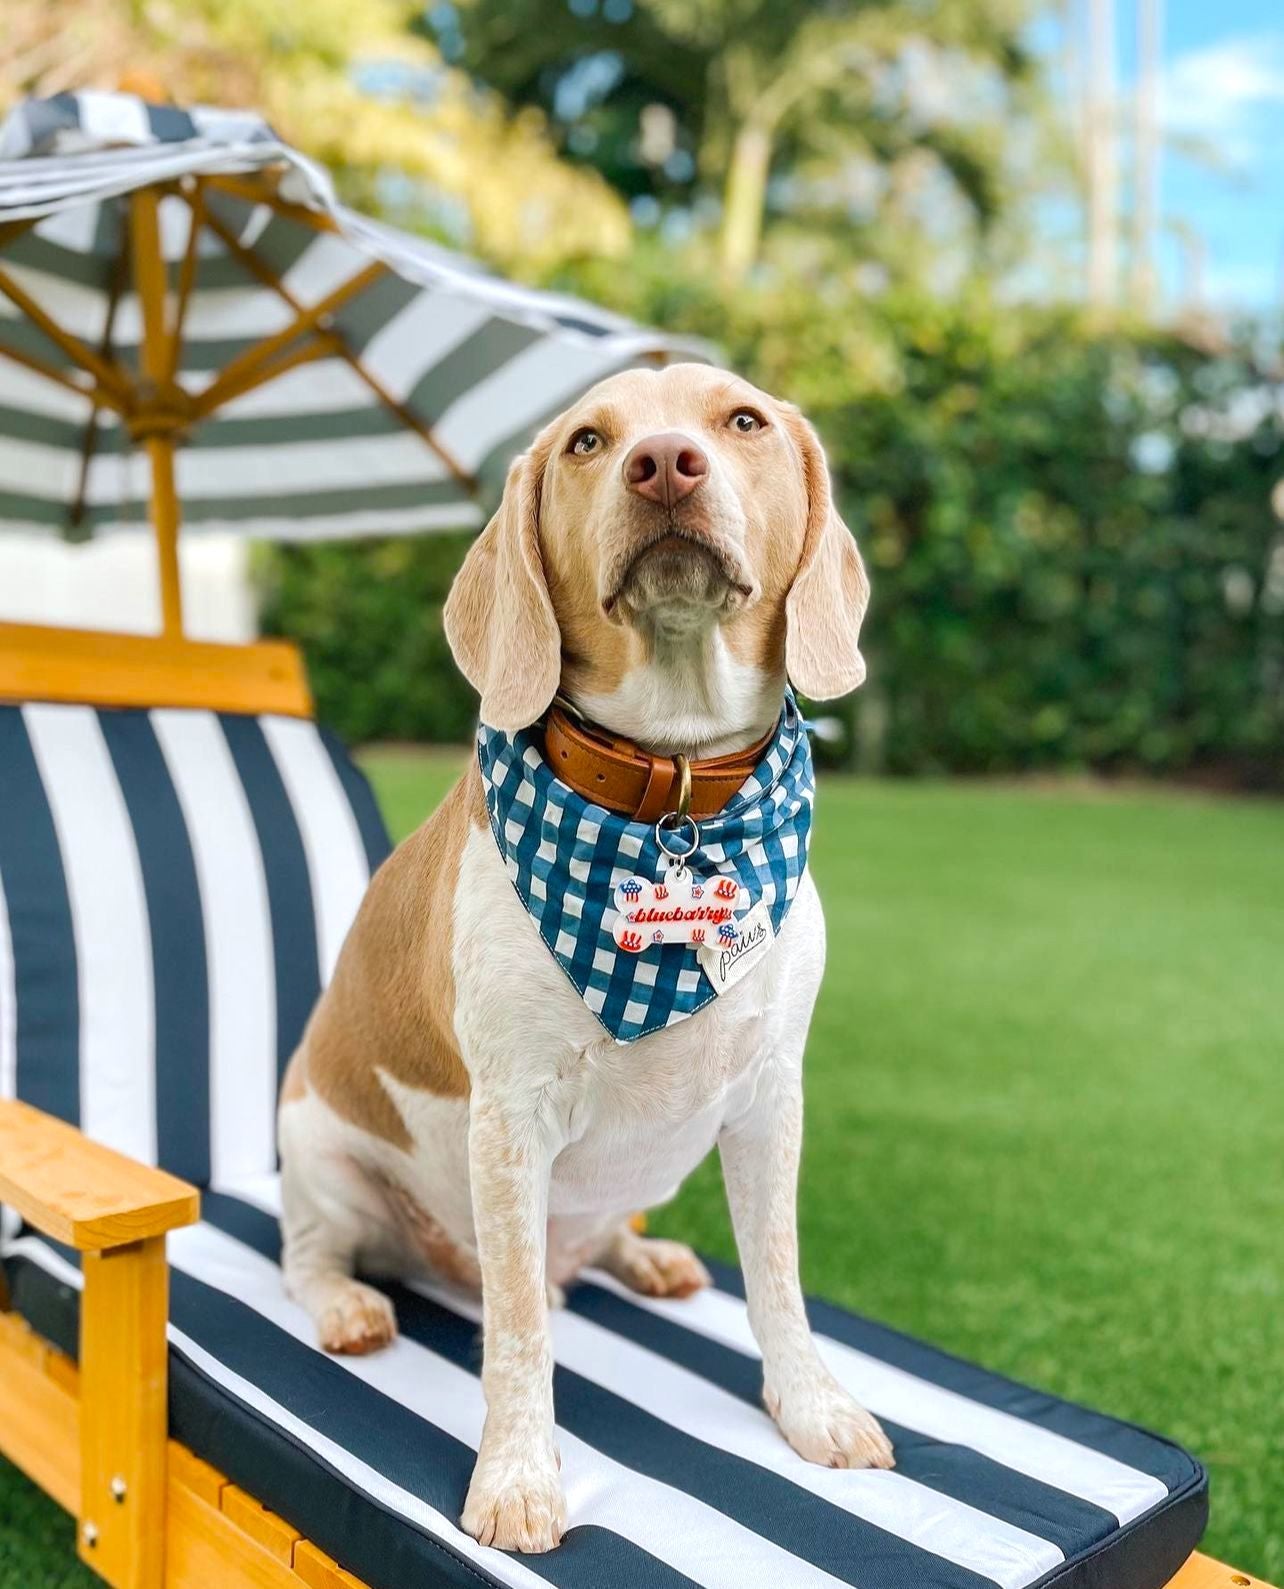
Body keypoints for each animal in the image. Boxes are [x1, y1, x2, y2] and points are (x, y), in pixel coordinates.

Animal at [274, 357, 889, 1550]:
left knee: (600, 1242)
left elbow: (778, 1280)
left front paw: (811, 1406)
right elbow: (519, 1335)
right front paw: (518, 1475)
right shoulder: (512, 1122)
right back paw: (351, 1304)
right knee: (312, 1254)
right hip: (319, 1150)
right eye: (588, 442)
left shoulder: (770, 1097)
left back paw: (640, 1255)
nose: (665, 463)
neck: (676, 787)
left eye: (741, 419)